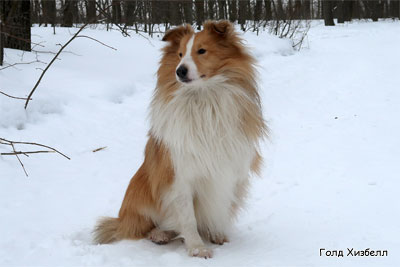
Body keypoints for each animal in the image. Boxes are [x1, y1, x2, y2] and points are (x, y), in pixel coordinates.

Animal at [93, 19, 266, 258]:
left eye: (202, 51)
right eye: (180, 54)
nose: (180, 71)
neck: (204, 98)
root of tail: (121, 219)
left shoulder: (229, 171)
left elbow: (220, 207)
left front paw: (216, 234)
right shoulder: (179, 176)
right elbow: (188, 218)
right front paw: (197, 248)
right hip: (141, 193)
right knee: (141, 228)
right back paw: (159, 234)